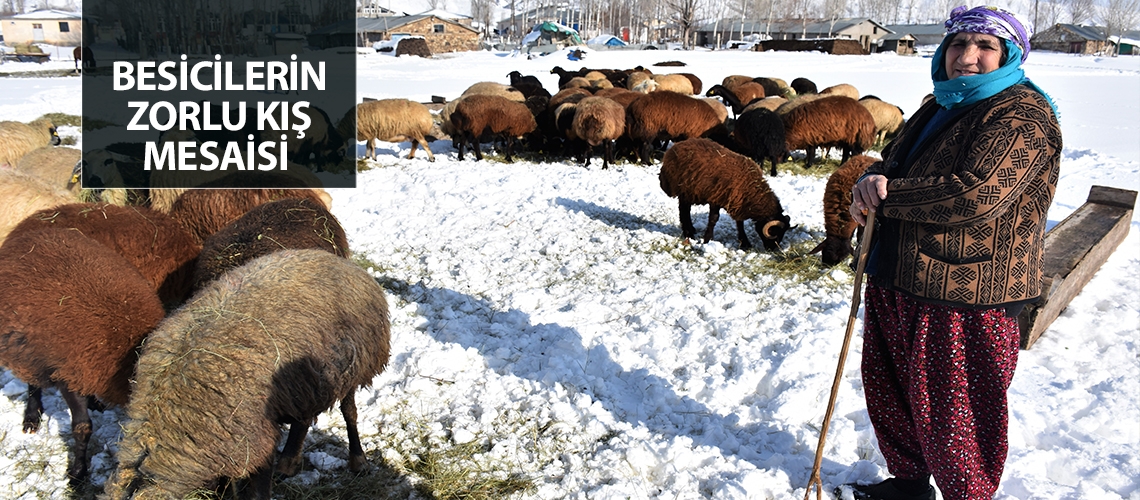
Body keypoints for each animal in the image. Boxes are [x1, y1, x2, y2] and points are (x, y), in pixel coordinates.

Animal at [0, 227, 166, 485]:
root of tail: (31, 234)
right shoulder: (68, 374)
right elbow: (82, 427)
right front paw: (77, 473)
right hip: (28, 344)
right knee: (32, 379)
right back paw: (32, 417)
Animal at [107, 250, 392, 500]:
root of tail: (340, 261)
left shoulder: (254, 440)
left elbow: (257, 491)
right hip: (307, 381)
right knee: (303, 418)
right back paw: (288, 463)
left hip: (353, 364)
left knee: (349, 412)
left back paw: (358, 461)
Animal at [661, 137, 793, 252]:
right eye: (774, 232)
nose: (772, 249)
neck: (752, 188)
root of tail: (675, 147)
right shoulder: (715, 199)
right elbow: (713, 219)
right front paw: (707, 240)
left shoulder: (738, 202)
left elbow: (740, 223)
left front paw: (744, 243)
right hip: (683, 189)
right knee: (684, 211)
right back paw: (688, 233)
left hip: (688, 192)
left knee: (685, 210)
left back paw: (691, 230)